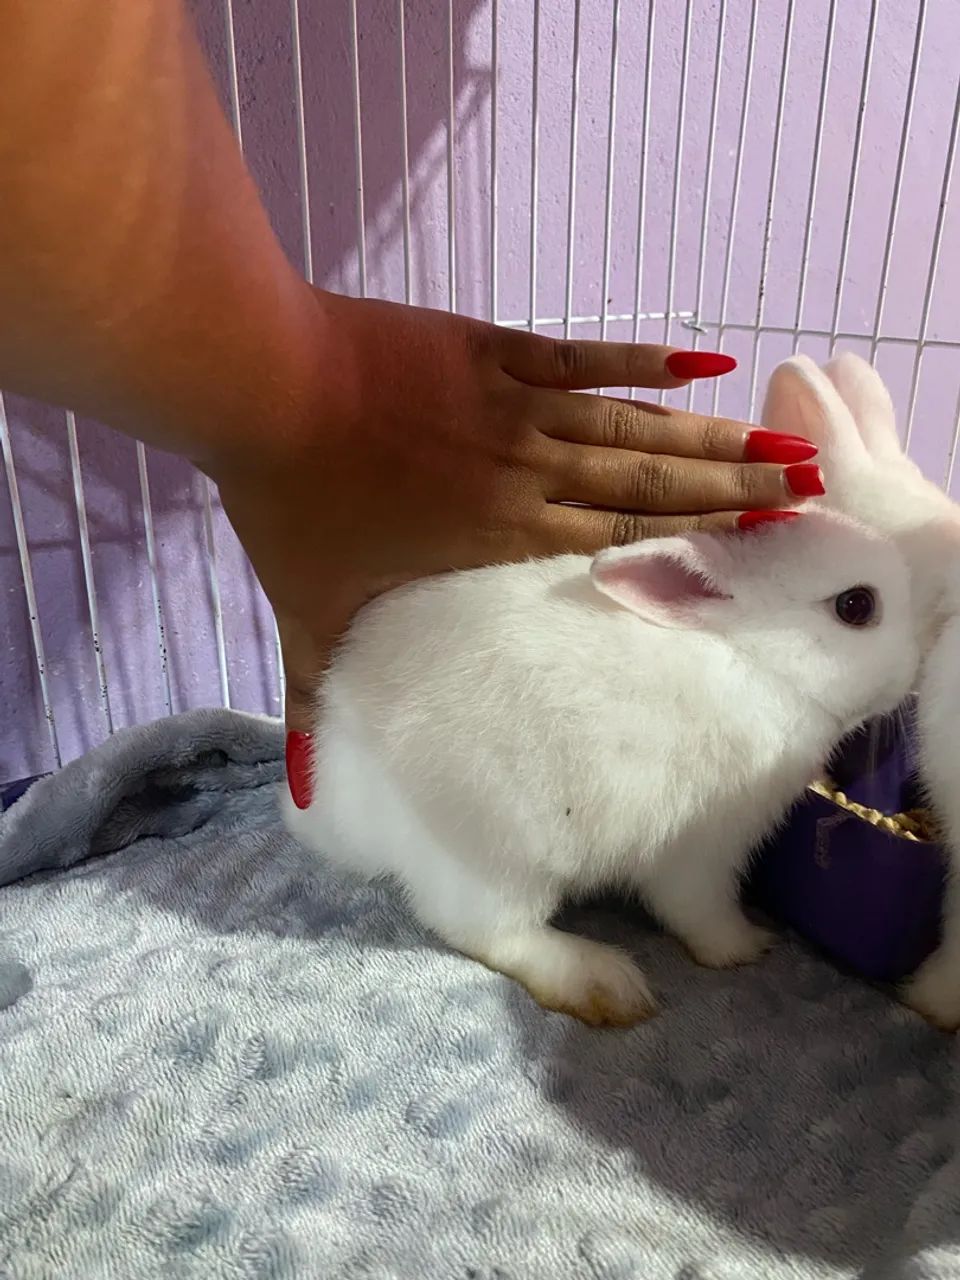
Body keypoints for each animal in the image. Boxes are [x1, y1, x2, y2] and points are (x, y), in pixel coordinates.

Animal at [283, 509, 917, 1027]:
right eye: (856, 606)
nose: (914, 666)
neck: (754, 661)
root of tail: (341, 804)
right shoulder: (703, 847)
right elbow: (700, 911)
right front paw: (746, 946)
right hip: (494, 859)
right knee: (481, 930)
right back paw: (602, 982)